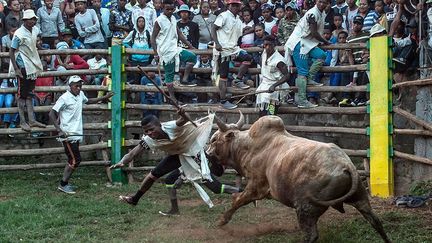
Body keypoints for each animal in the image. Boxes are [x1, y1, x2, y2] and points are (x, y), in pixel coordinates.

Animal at [206, 113, 392, 242]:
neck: (248, 146)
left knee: (311, 235)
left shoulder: (256, 186)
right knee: (376, 222)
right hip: (360, 198)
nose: (206, 154)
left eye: (214, 139)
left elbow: (238, 200)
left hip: (305, 208)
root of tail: (347, 166)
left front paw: (221, 221)